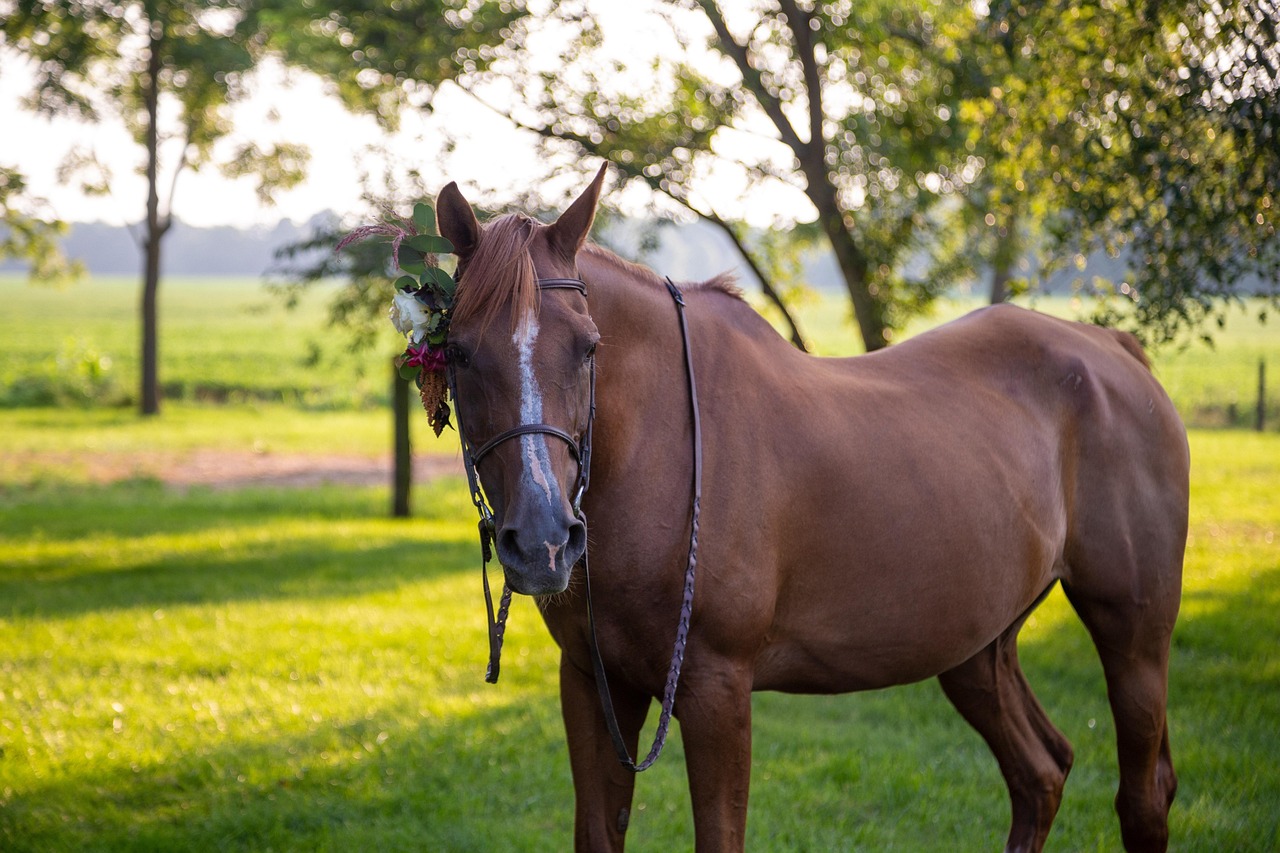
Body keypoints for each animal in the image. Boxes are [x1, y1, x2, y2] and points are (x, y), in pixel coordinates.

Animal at [432, 165, 1188, 853]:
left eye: (588, 347)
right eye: (460, 352)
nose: (542, 540)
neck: (663, 448)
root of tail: (1112, 351)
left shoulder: (716, 689)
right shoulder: (594, 682)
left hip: (1134, 633)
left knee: (1142, 797)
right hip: (978, 647)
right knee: (1041, 773)